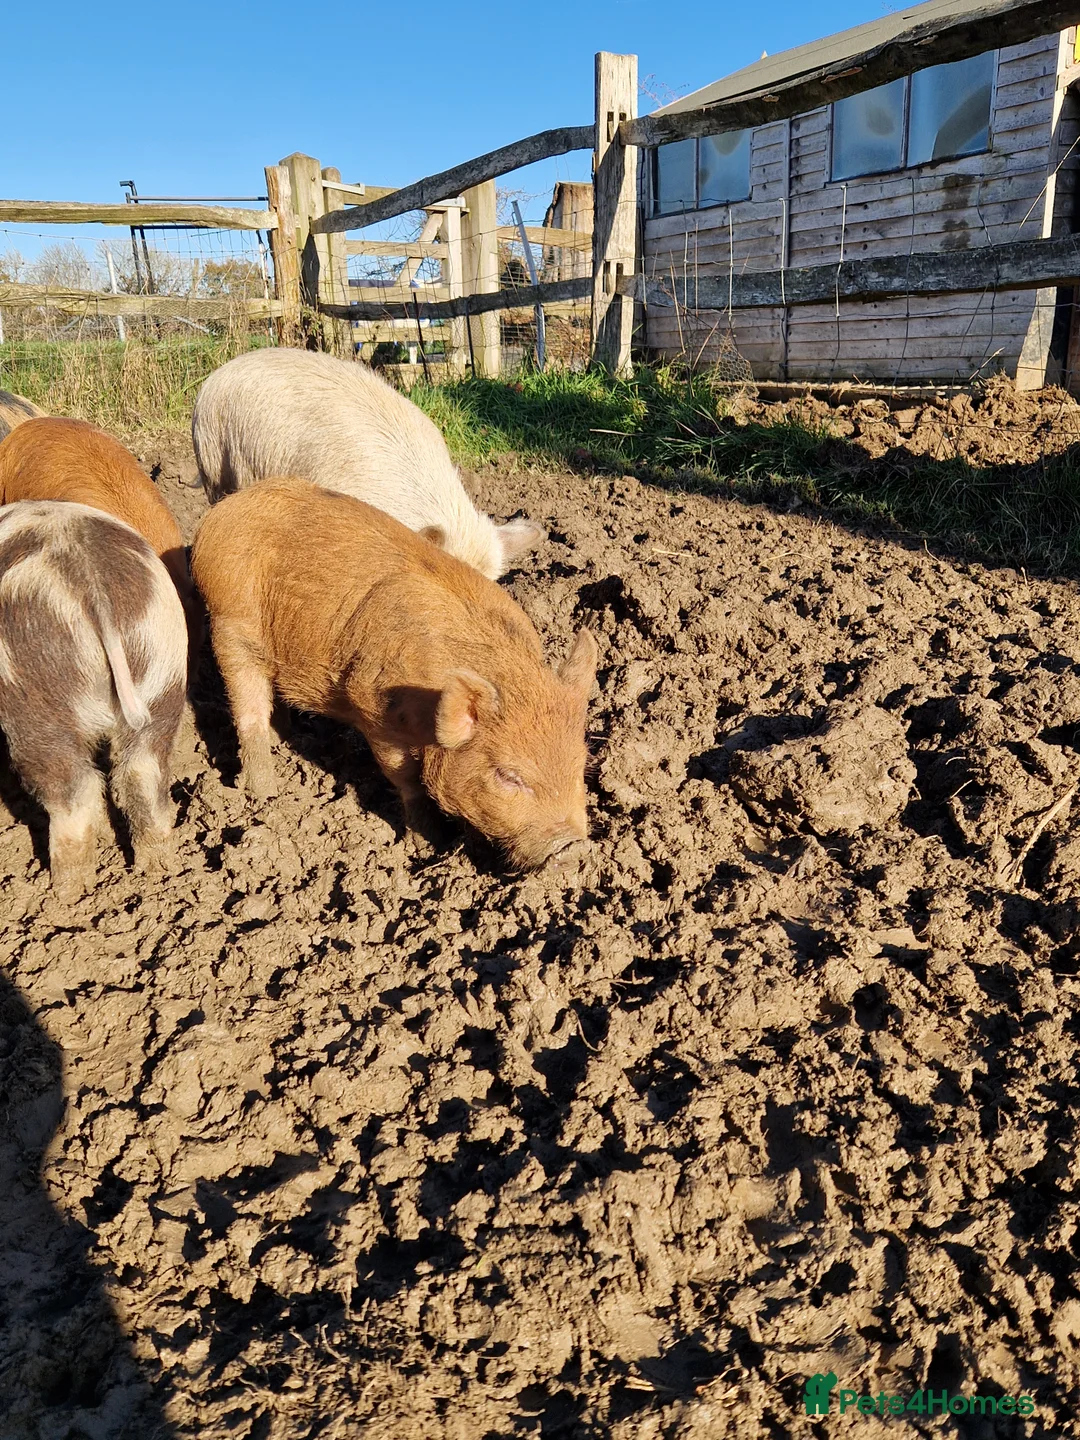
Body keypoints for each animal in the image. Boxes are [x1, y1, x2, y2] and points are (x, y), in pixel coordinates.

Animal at [0, 500, 188, 898]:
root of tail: (91, 582)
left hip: (36, 691)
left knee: (71, 787)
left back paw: (66, 893)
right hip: (163, 666)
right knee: (143, 770)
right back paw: (159, 869)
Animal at [191, 478, 596, 870]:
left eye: (581, 766)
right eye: (508, 776)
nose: (574, 849)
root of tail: (224, 511)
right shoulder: (373, 707)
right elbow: (406, 778)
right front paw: (427, 842)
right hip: (231, 624)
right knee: (249, 712)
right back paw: (265, 796)